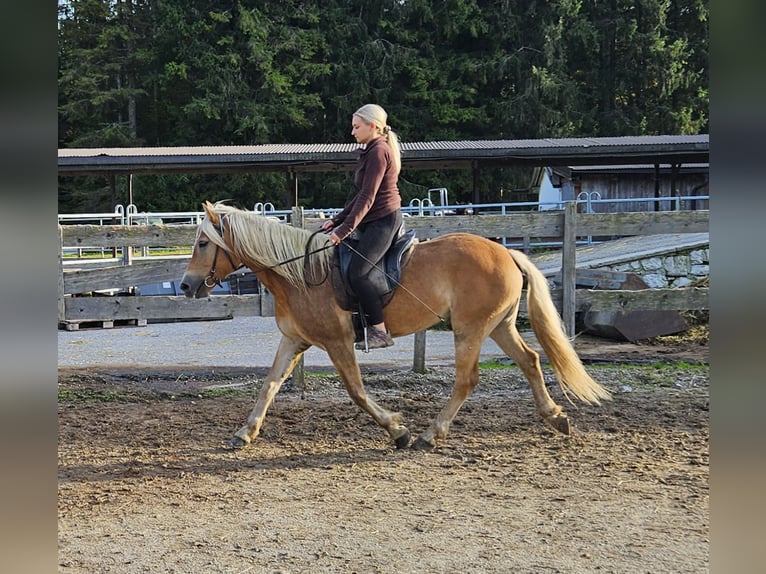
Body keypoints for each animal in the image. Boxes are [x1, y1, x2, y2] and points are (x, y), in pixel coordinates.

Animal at [180, 200, 612, 452]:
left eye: (203, 243)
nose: (185, 285)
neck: (299, 273)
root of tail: (506, 252)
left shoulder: (338, 342)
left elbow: (356, 392)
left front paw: (397, 430)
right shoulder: (294, 340)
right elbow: (269, 385)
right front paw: (244, 433)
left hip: (470, 328)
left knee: (467, 379)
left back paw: (428, 435)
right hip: (498, 325)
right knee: (530, 362)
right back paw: (555, 417)